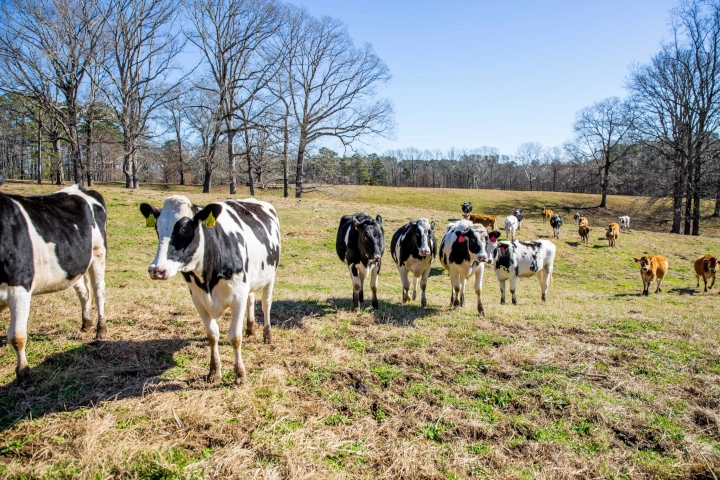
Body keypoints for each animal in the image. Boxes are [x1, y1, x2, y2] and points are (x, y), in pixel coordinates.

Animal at [0, 174, 107, 385]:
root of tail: (81, 188)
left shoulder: (19, 286)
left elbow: (17, 336)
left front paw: (23, 373)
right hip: (73, 263)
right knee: (84, 293)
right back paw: (86, 323)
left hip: (98, 253)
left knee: (98, 291)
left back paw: (100, 329)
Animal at [140, 195, 281, 385]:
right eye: (157, 227)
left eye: (185, 228)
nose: (156, 269)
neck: (208, 277)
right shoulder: (198, 299)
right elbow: (212, 335)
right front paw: (214, 371)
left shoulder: (238, 296)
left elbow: (235, 337)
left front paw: (240, 375)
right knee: (251, 300)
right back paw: (251, 330)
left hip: (270, 277)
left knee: (266, 305)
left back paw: (267, 336)